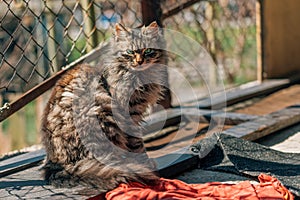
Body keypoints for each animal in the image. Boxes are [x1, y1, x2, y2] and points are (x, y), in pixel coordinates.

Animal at [41, 21, 169, 191]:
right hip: (101, 112)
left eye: (148, 51)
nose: (139, 61)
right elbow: (137, 144)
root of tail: (55, 163)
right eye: (129, 52)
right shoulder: (128, 114)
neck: (139, 76)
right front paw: (145, 163)